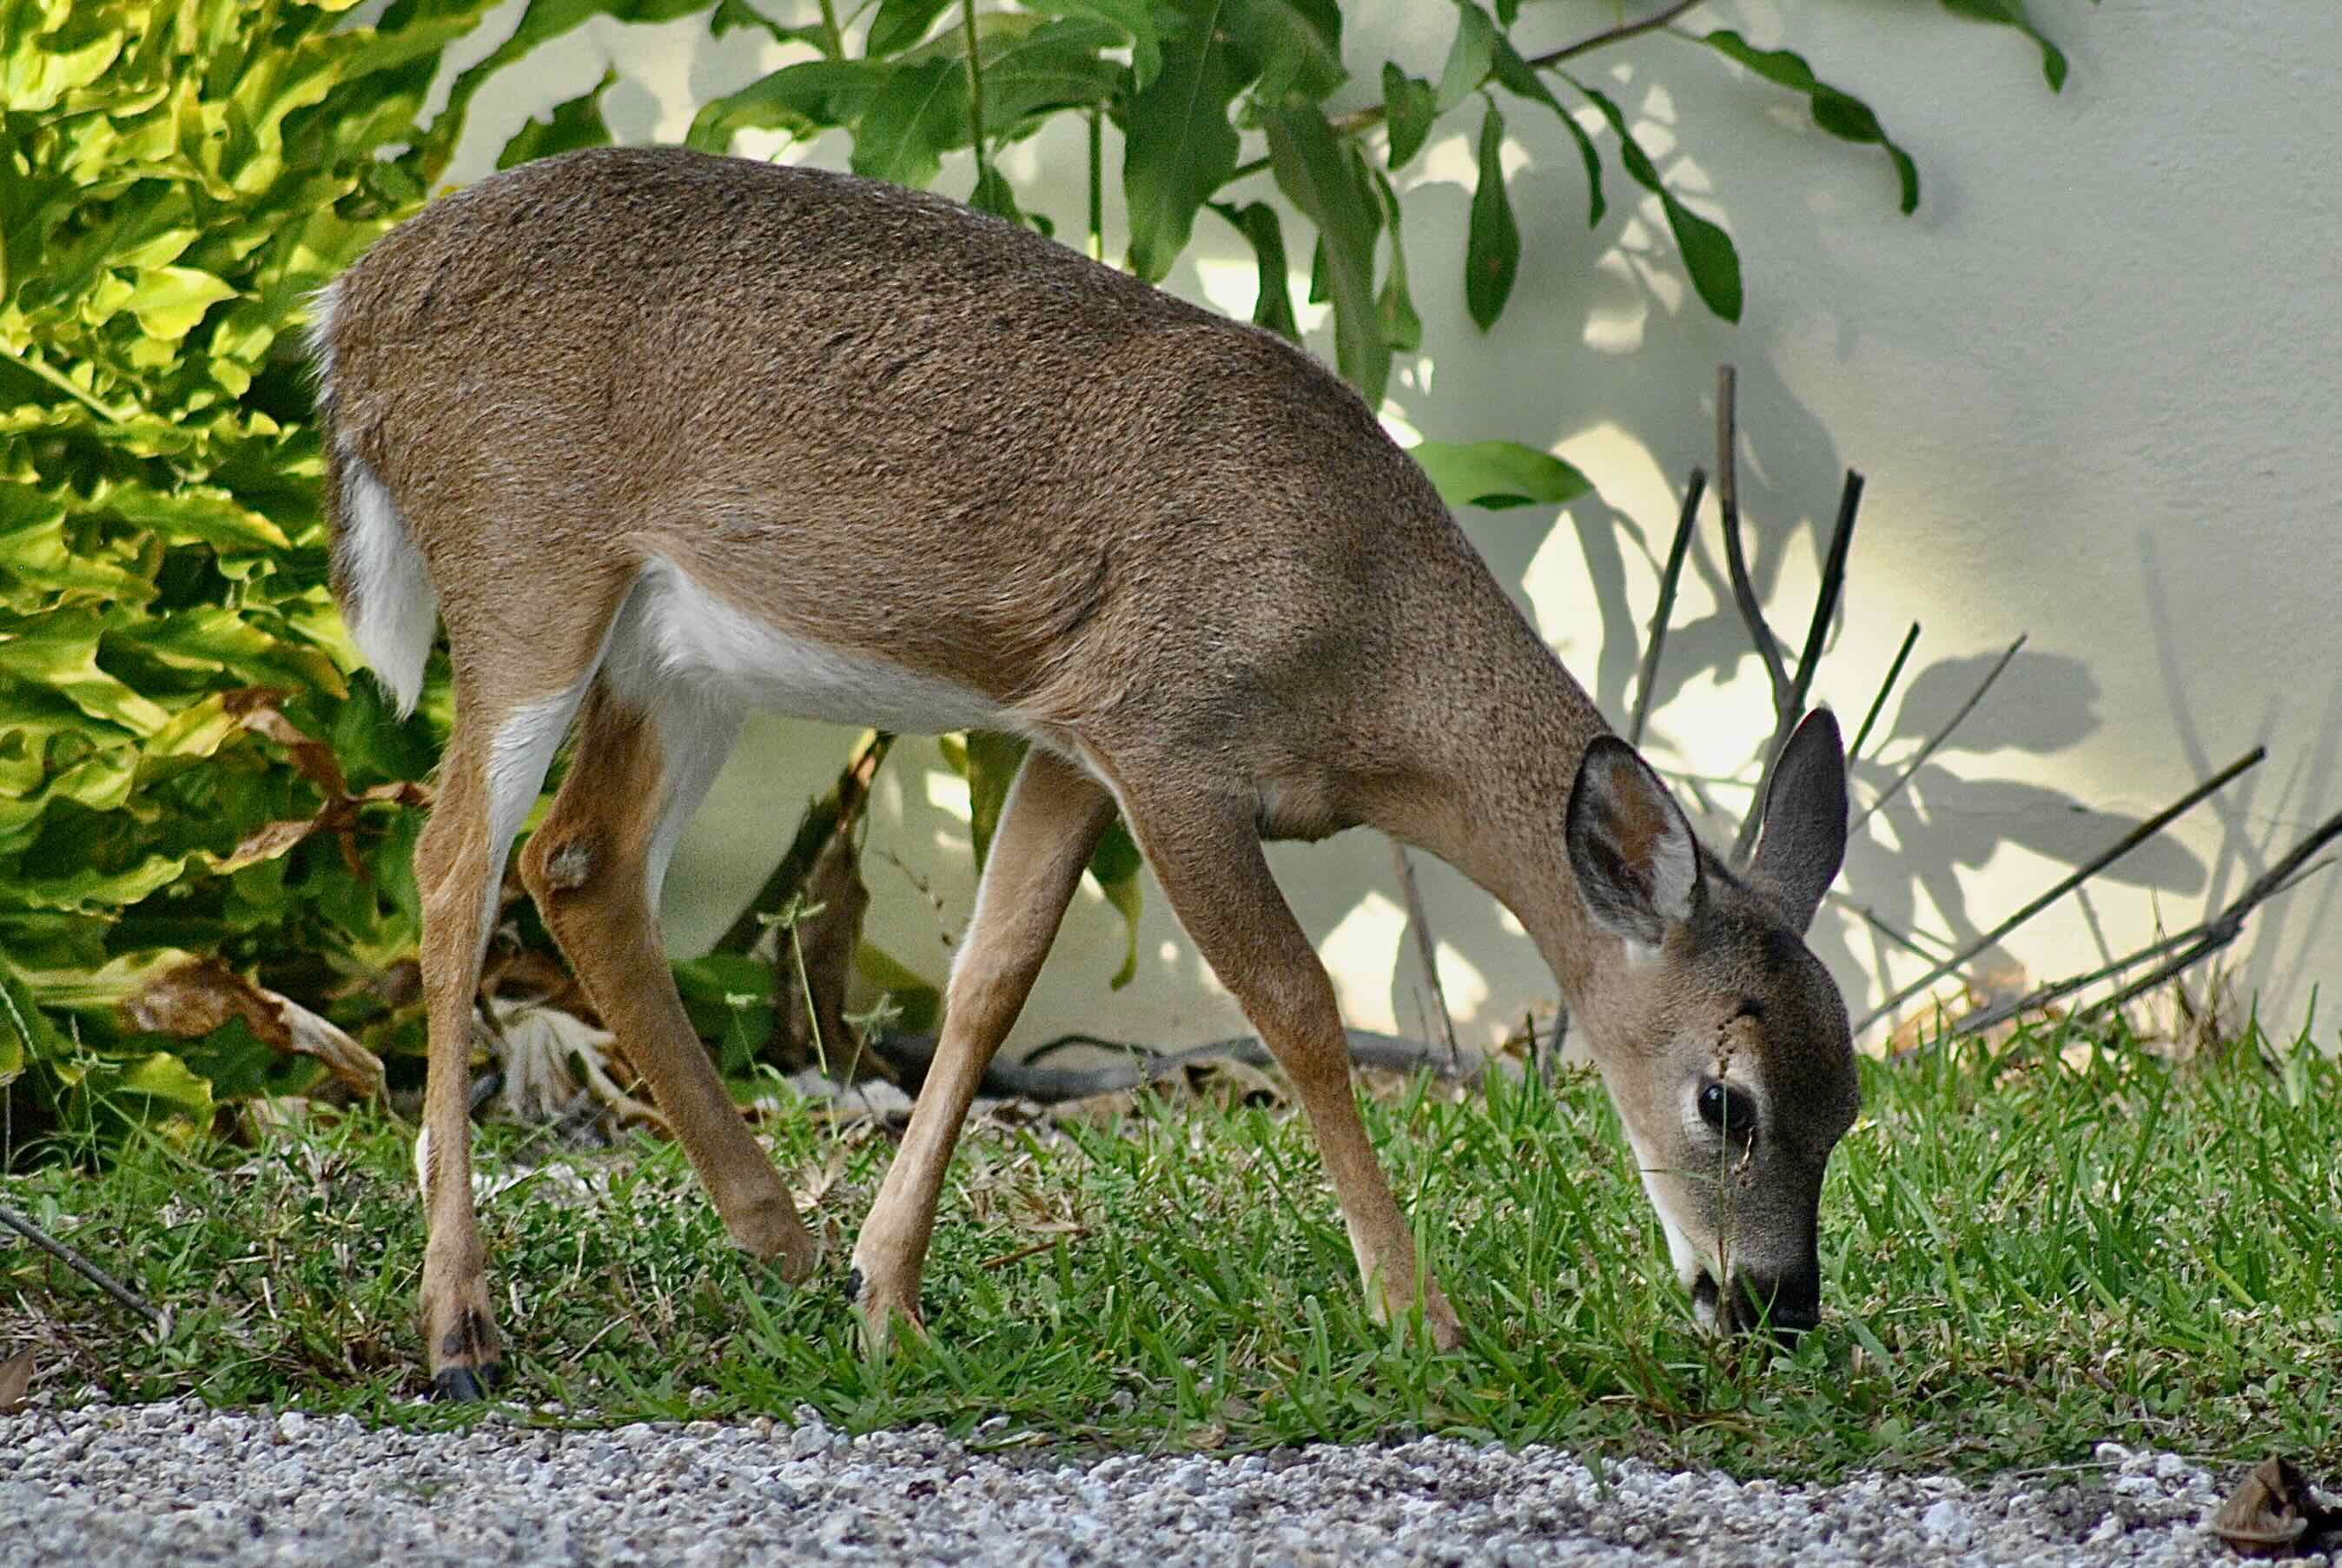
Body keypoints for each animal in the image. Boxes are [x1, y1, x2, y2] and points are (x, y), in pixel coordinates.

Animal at [307, 145, 1860, 1400]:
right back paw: (459, 1329)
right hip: (525, 571)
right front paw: (1420, 1320)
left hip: (675, 657)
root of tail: (351, 312)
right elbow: (1297, 1006)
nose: (1773, 1306)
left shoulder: (1073, 735)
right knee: (454, 868)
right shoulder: (1169, 743)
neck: (1357, 654)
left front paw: (886, 1300)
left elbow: (993, 979)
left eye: (1849, 1104)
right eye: (1727, 1097)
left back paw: (782, 1243)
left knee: (583, 865)